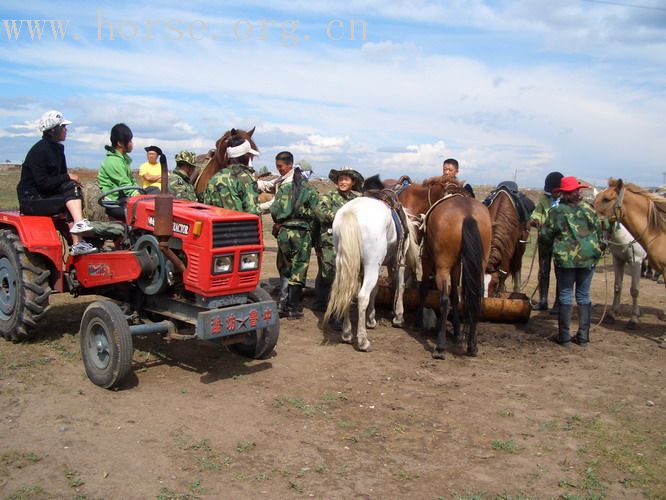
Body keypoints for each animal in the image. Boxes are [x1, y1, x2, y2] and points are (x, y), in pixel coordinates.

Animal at [322, 196, 416, 352]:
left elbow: (376, 290)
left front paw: (371, 319)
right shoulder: (398, 262)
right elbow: (400, 286)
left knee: (348, 294)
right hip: (372, 265)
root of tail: (351, 212)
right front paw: (398, 317)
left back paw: (347, 334)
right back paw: (363, 341)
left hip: (347, 264)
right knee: (362, 296)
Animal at [396, 178, 490, 358]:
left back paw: (440, 346)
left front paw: (418, 322)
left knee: (444, 301)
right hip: (479, 267)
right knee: (475, 299)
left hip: (442, 266)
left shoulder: (428, 260)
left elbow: (425, 289)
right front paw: (458, 331)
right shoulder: (457, 266)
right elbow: (455, 296)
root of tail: (467, 214)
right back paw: (472, 346)